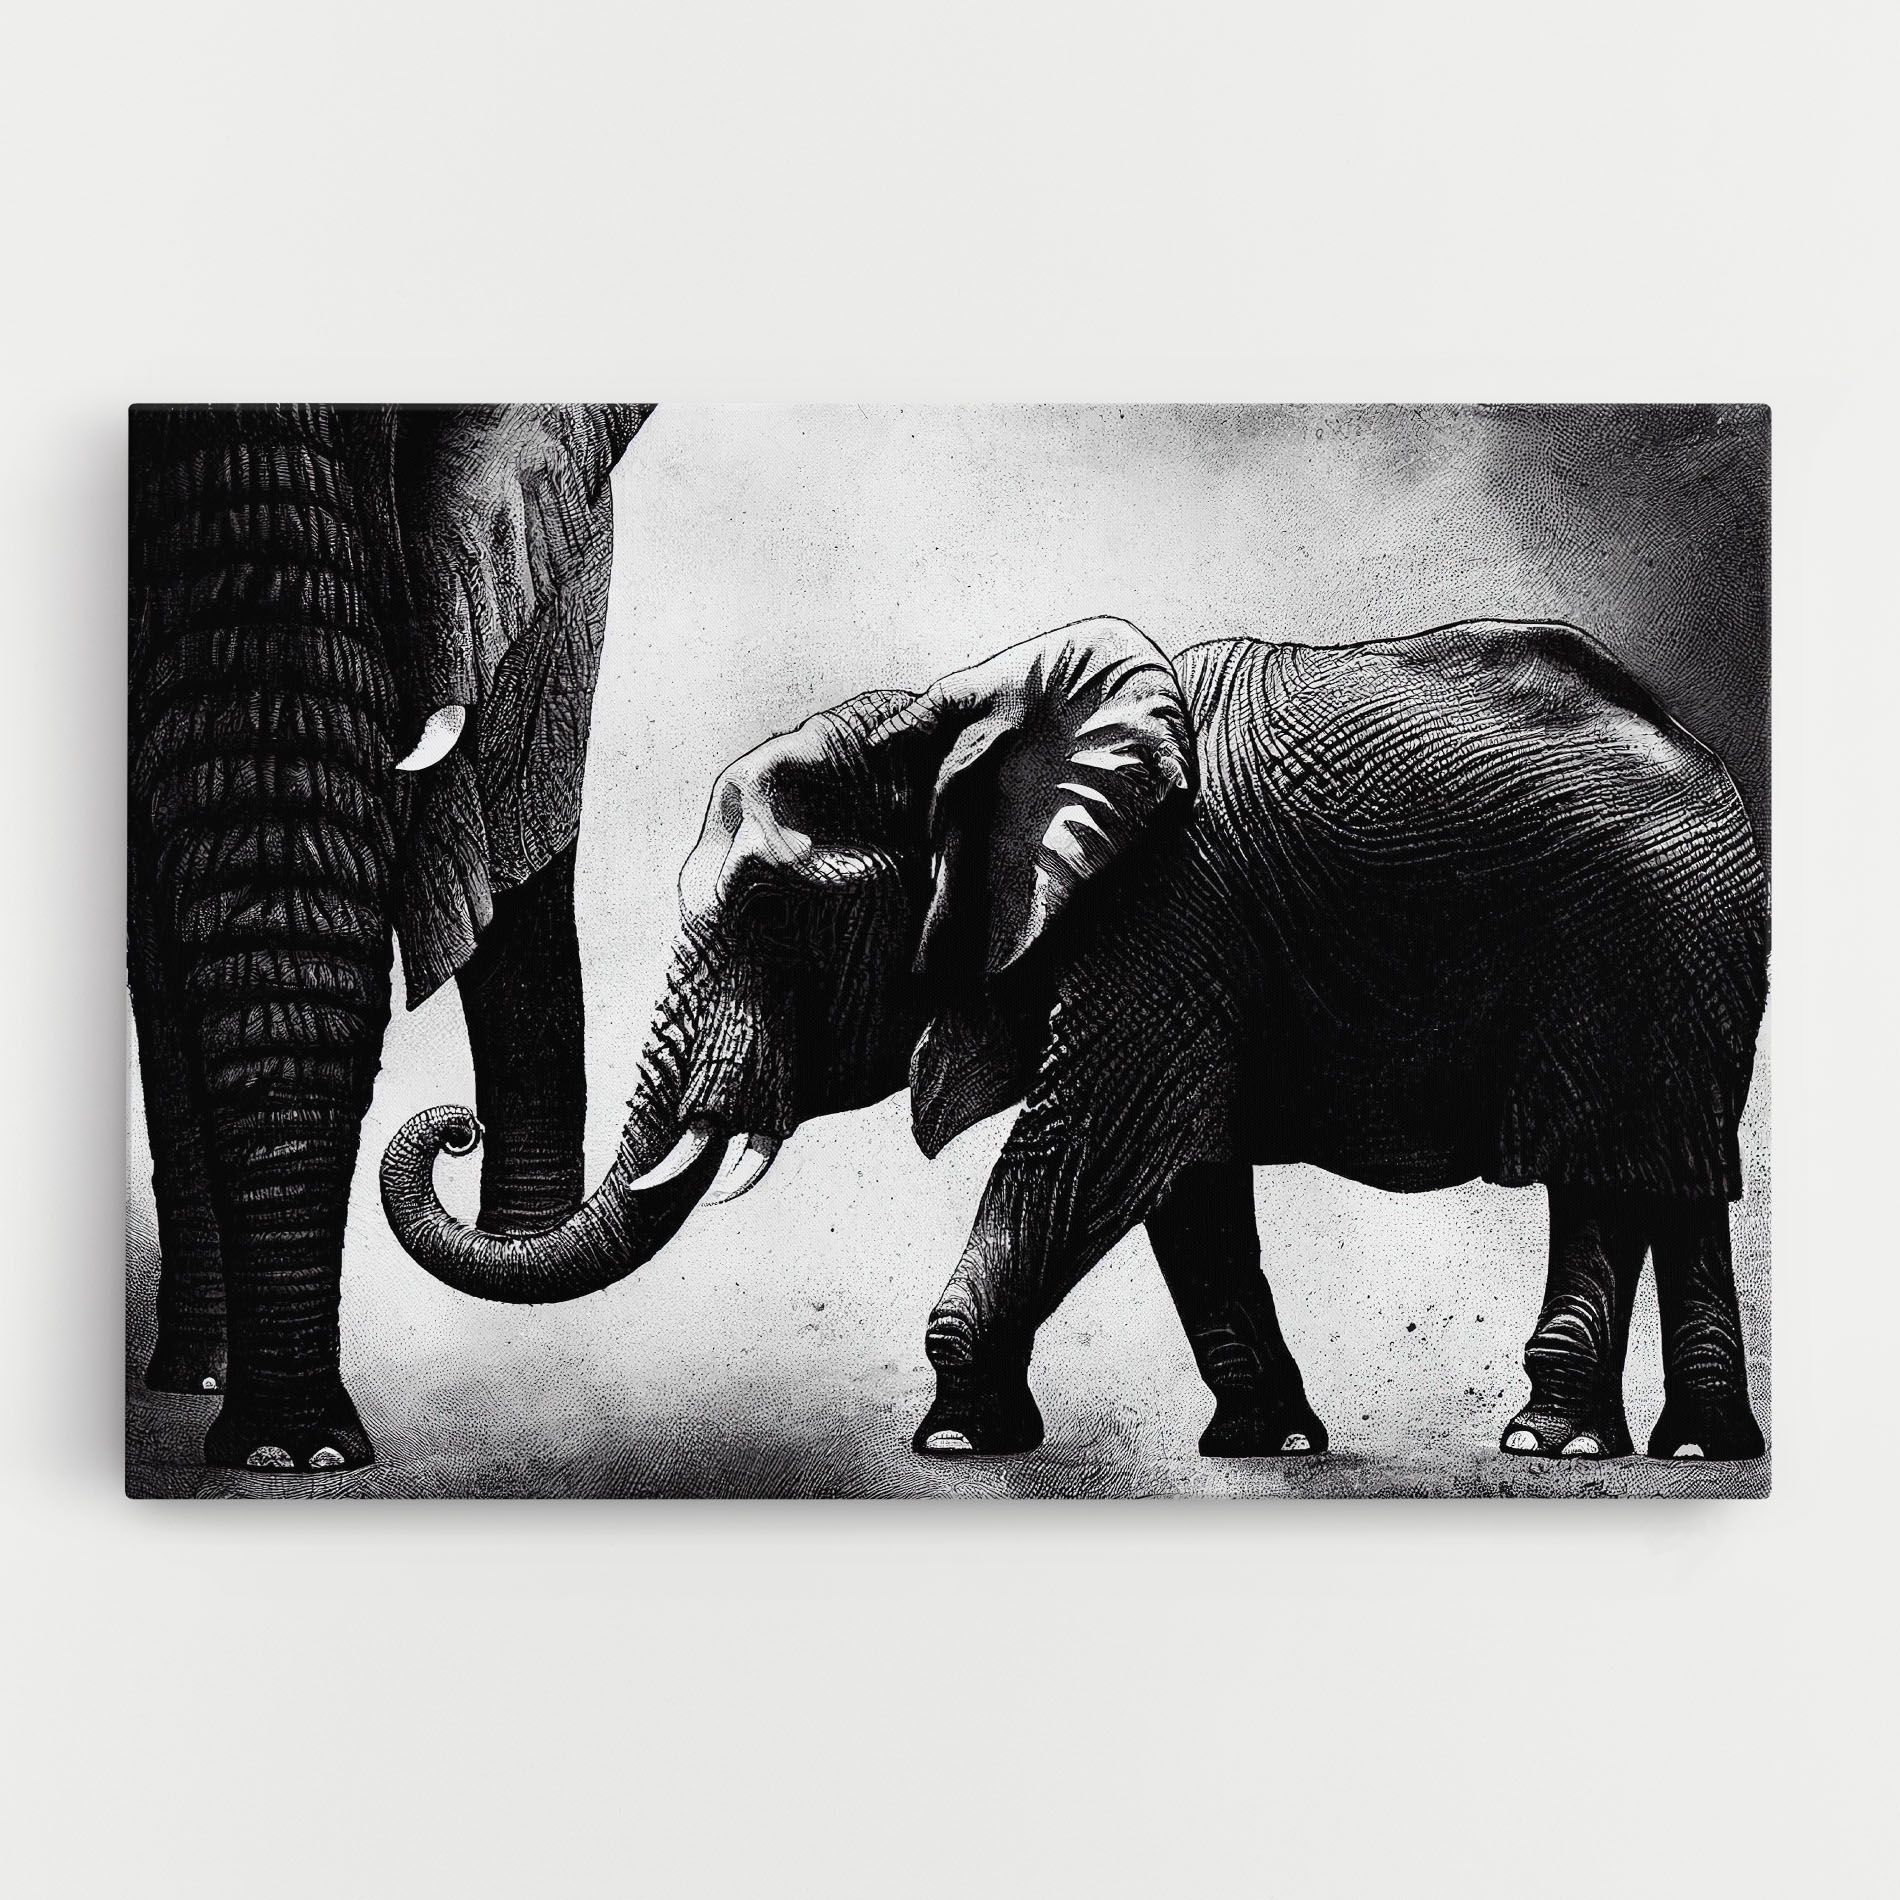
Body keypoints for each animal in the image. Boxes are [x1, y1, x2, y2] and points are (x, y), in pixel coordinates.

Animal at [381, 614, 1768, 1465]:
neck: (953, 709)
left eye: (768, 904)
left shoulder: (1165, 914)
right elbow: (1186, 1191)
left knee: (1601, 1175)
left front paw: (952, 1437)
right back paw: (1697, 1448)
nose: (451, 1125)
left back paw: (1548, 1441)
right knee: (1674, 1187)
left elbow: (1095, 1143)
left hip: (1634, 953)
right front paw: (1263, 1445)